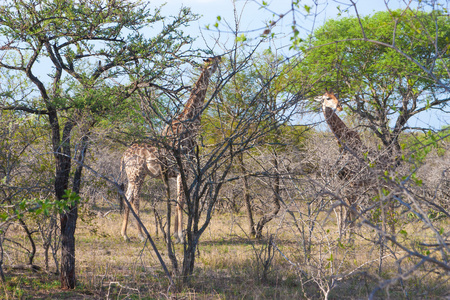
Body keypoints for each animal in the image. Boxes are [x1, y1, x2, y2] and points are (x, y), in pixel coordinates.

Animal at [121, 56, 221, 244]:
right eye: (213, 63)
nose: (220, 58)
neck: (189, 125)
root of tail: (123, 156)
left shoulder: (177, 173)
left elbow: (176, 201)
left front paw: (175, 234)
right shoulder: (185, 170)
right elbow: (181, 201)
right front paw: (181, 237)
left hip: (132, 175)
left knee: (127, 197)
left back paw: (124, 234)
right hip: (138, 174)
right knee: (135, 199)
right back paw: (141, 235)